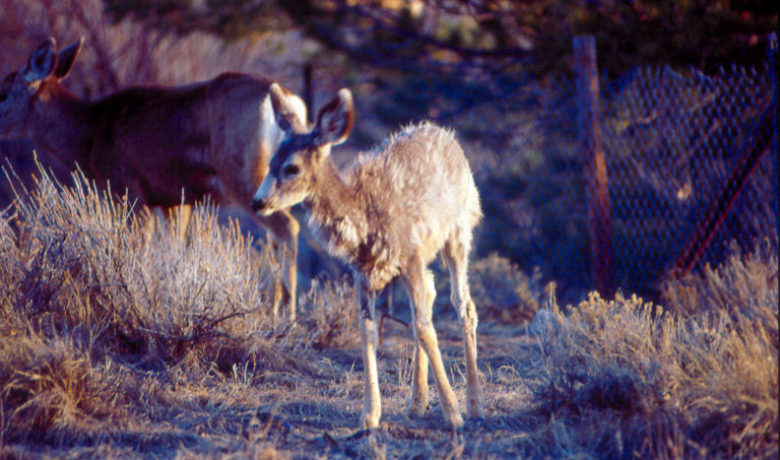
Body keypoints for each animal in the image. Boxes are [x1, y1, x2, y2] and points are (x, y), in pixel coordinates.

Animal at [0, 38, 307, 326]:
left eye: (3, 92)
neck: (92, 135)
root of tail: (289, 100)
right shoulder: (175, 200)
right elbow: (175, 249)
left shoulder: (128, 188)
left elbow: (139, 249)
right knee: (277, 238)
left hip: (242, 175)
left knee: (288, 227)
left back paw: (288, 317)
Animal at [252, 84, 484, 429]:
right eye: (270, 162)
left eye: (292, 167)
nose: (258, 201)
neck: (363, 217)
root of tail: (447, 135)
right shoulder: (363, 271)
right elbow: (369, 331)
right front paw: (370, 414)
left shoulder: (410, 255)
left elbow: (425, 329)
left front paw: (453, 414)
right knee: (430, 297)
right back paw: (417, 402)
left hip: (459, 230)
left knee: (463, 305)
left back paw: (473, 403)